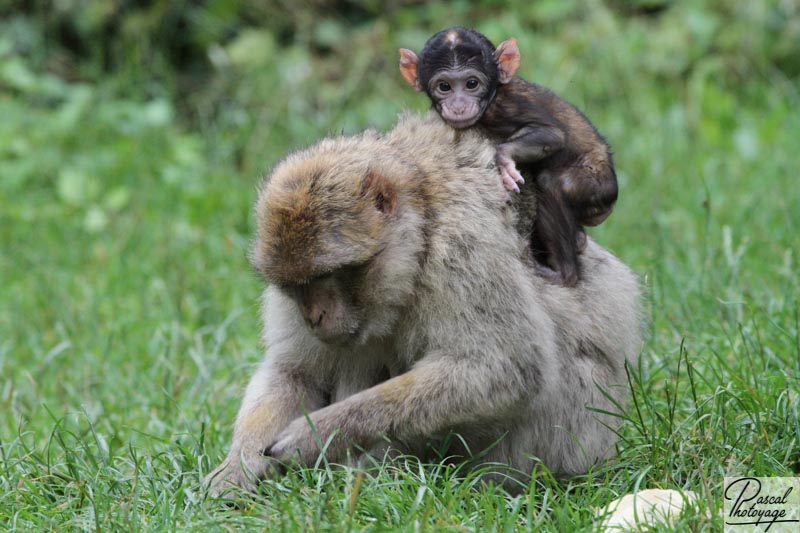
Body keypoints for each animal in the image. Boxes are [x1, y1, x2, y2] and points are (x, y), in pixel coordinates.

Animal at [206, 114, 644, 496]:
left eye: (326, 276)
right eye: (297, 286)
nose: (313, 315)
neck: (421, 225)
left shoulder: (462, 247)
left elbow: (504, 367)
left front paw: (320, 434)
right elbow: (295, 372)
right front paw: (239, 466)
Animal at [400, 27, 620, 284]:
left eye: (471, 83)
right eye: (444, 86)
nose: (459, 105)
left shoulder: (505, 107)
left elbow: (553, 135)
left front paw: (504, 160)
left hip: (597, 186)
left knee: (552, 183)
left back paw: (564, 273)